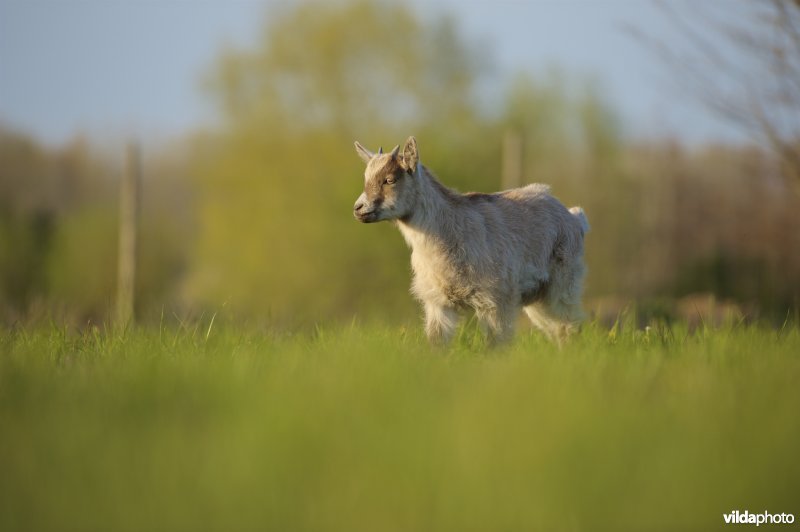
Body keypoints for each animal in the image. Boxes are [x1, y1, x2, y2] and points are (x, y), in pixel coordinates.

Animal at [352, 137, 588, 344]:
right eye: (366, 179)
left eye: (389, 180)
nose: (359, 208)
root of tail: (575, 217)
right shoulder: (437, 303)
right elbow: (437, 343)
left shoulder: (495, 300)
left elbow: (495, 345)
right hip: (538, 297)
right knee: (556, 329)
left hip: (563, 283)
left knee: (570, 326)